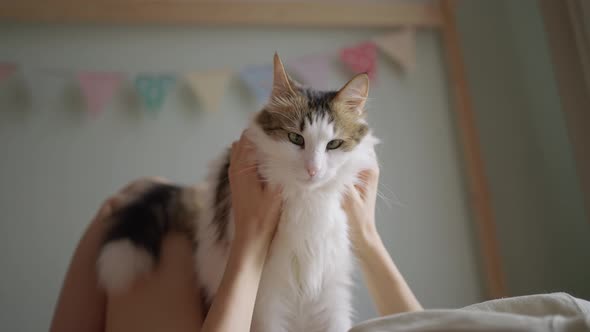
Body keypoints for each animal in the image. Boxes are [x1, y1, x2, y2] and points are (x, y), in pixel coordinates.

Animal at [97, 54, 380, 332]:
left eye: (334, 144)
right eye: (295, 138)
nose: (313, 169)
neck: (306, 201)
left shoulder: (331, 291)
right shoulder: (268, 297)